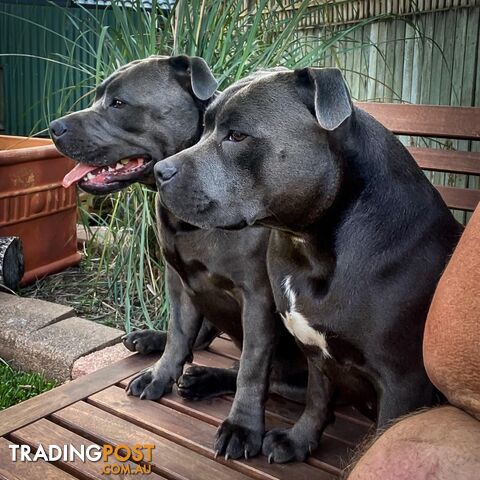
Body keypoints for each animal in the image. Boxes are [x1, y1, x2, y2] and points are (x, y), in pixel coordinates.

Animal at [50, 57, 308, 462]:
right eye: (97, 97)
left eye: (118, 103)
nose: (54, 127)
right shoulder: (179, 279)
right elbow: (179, 334)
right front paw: (159, 374)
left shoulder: (258, 298)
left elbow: (252, 369)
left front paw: (243, 427)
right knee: (198, 339)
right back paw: (152, 340)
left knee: (257, 371)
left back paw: (205, 379)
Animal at [156, 67, 464, 462]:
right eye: (205, 127)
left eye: (237, 136)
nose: (161, 170)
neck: (309, 245)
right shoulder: (314, 351)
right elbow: (317, 400)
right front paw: (298, 440)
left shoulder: (403, 383)